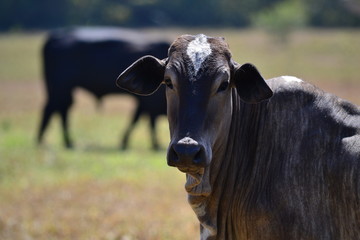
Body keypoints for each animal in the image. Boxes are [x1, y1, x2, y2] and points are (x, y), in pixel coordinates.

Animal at [37, 27, 169, 149]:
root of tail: (56, 36)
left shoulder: (143, 103)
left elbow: (136, 119)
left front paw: (125, 142)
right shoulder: (150, 103)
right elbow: (148, 122)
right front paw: (155, 145)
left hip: (62, 90)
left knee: (61, 109)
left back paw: (65, 142)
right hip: (60, 88)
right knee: (52, 109)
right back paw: (47, 141)